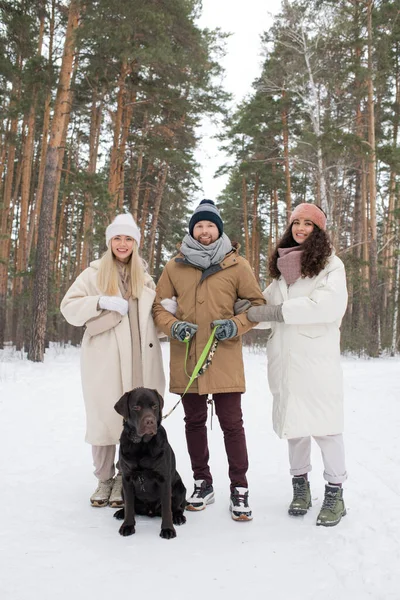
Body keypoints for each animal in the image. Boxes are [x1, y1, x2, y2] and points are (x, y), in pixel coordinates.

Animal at [113, 386, 187, 540]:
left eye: (154, 406)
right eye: (136, 407)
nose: (150, 422)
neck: (142, 446)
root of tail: (150, 511)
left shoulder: (164, 480)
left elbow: (167, 509)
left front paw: (167, 529)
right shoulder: (127, 479)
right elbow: (129, 506)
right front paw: (127, 526)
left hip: (179, 488)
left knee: (178, 507)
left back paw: (178, 517)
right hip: (122, 489)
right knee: (130, 506)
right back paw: (120, 512)